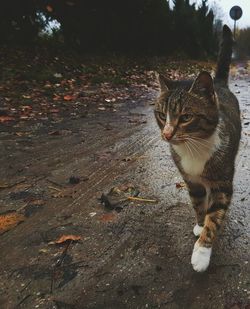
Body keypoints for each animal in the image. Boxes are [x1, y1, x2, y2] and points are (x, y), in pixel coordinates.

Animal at [155, 26, 241, 272]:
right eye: (162, 115)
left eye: (186, 117)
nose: (167, 134)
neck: (193, 148)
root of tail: (218, 83)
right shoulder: (191, 181)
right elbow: (198, 204)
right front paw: (200, 224)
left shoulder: (222, 183)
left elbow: (215, 216)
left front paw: (202, 251)